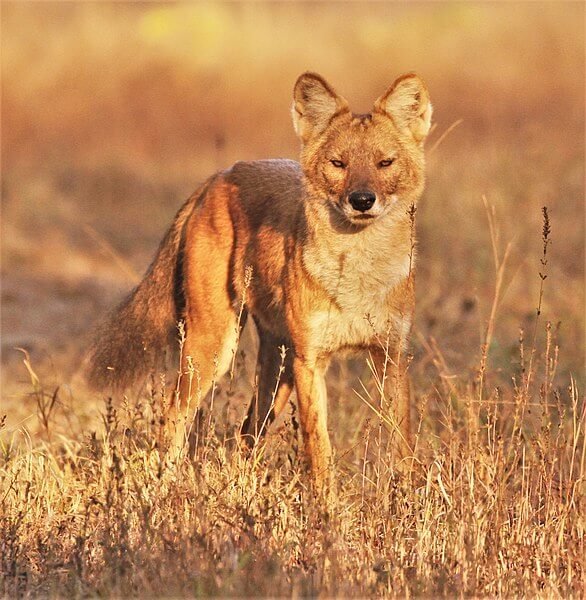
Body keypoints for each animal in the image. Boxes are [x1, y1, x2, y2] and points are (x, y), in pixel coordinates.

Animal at [89, 72, 432, 490]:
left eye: (385, 163)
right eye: (339, 163)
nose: (362, 200)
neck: (358, 274)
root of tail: (218, 176)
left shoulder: (392, 357)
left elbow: (403, 445)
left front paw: (410, 497)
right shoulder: (310, 361)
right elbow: (319, 450)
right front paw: (327, 508)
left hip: (276, 369)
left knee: (246, 431)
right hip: (214, 349)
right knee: (173, 414)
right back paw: (160, 488)